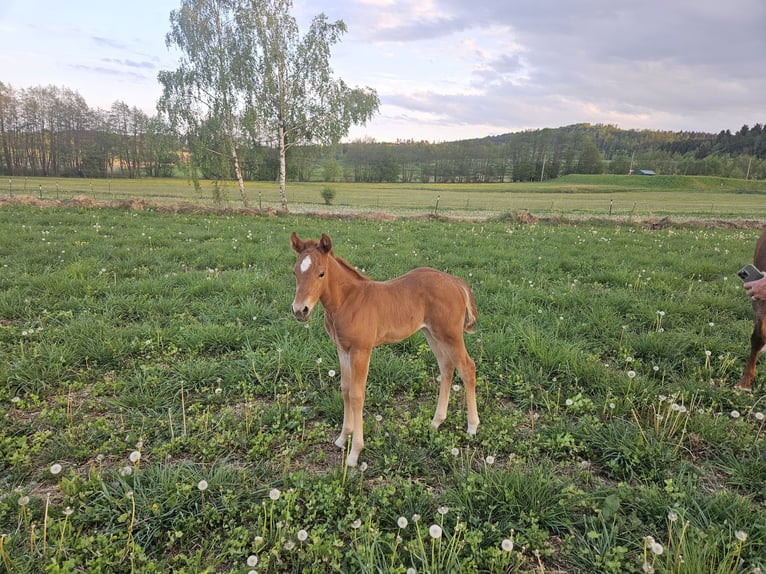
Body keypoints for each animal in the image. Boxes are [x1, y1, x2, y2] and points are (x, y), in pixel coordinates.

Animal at [290, 232, 480, 466]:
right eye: (295, 272)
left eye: (321, 273)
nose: (300, 310)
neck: (347, 301)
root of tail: (455, 282)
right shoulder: (342, 349)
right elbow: (345, 389)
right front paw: (343, 438)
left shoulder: (361, 350)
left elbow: (357, 394)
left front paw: (354, 453)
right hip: (432, 334)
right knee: (446, 367)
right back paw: (436, 422)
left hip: (450, 335)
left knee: (467, 368)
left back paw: (472, 427)